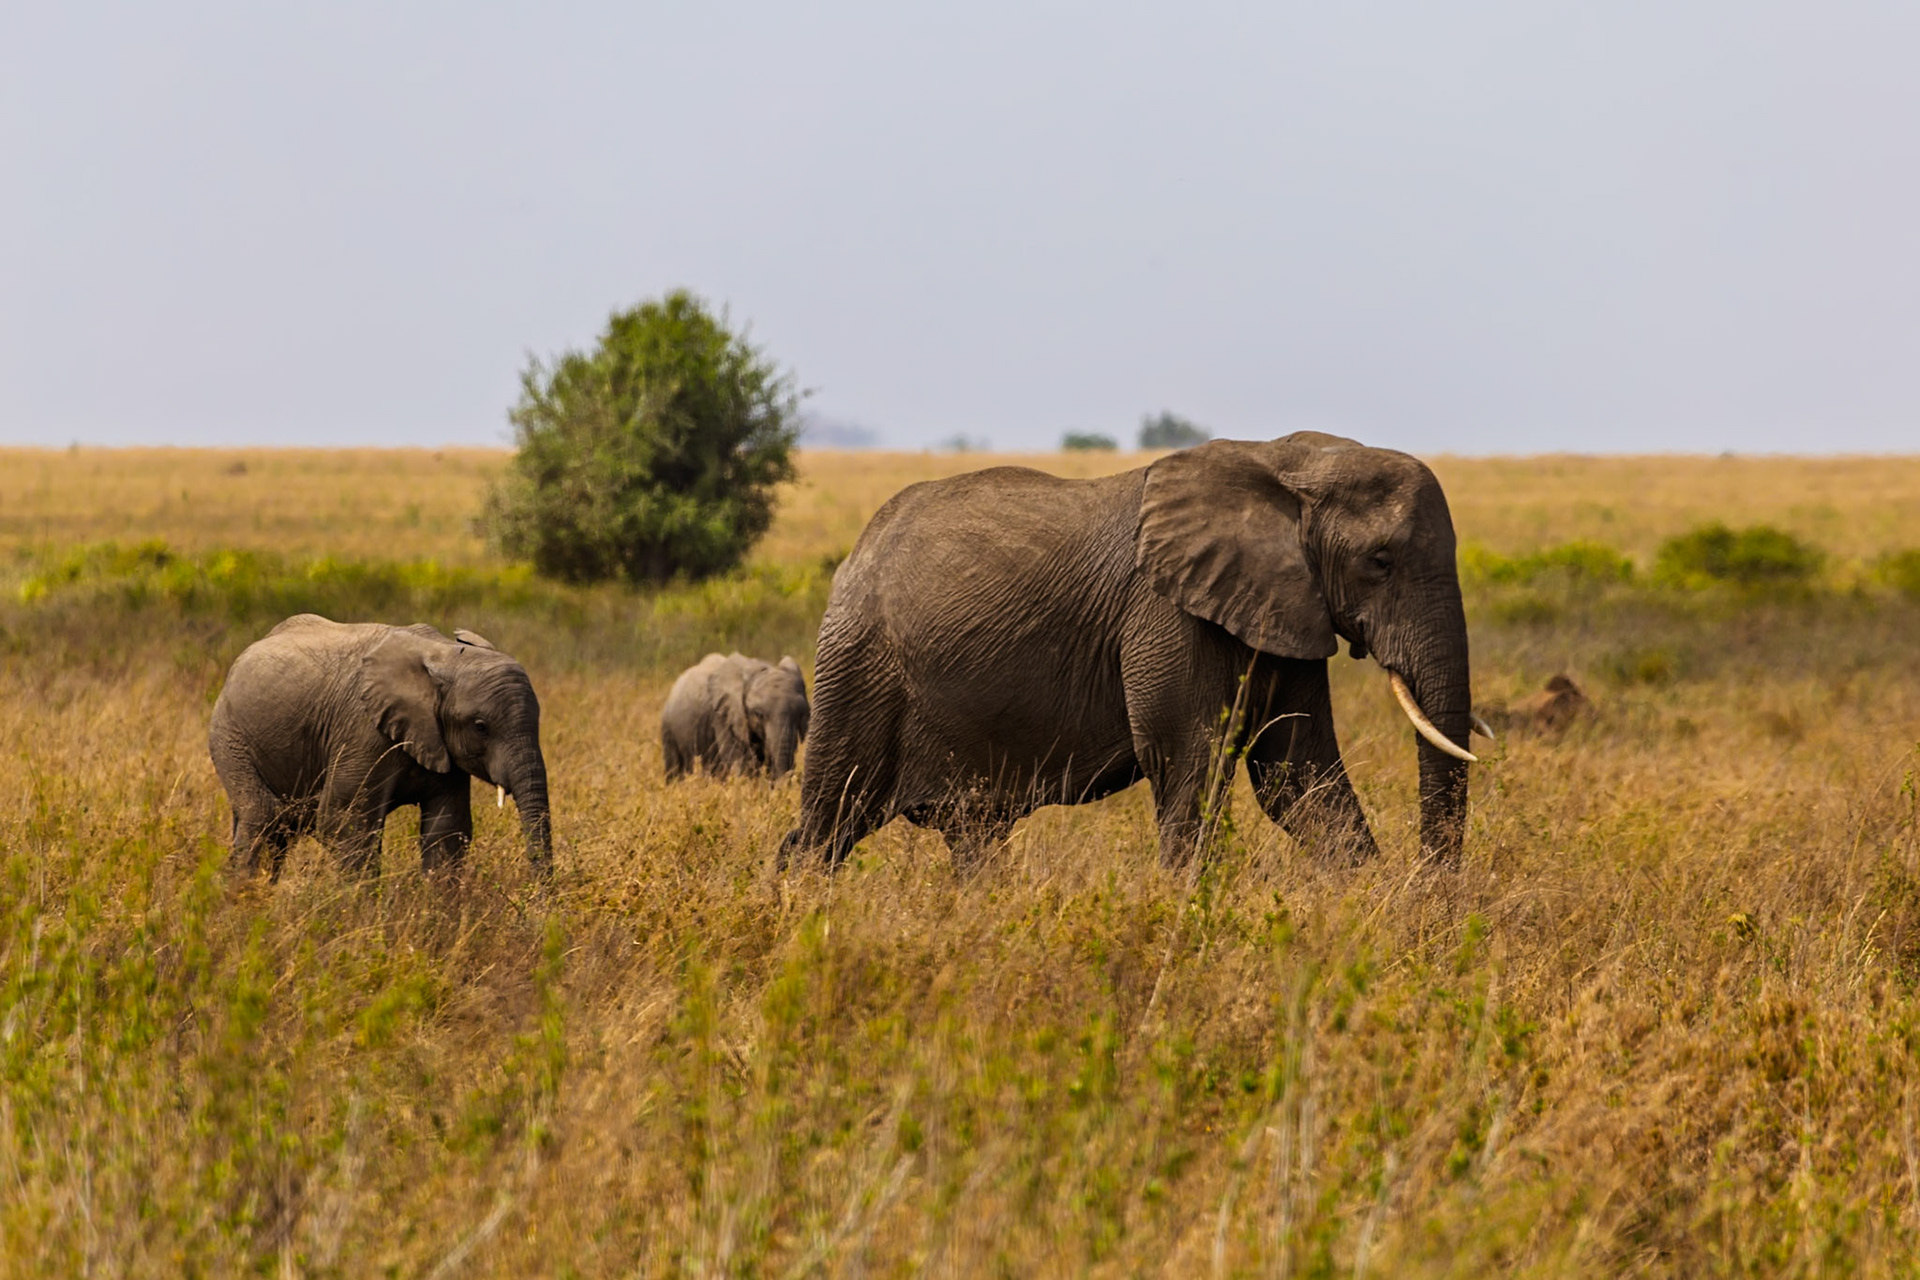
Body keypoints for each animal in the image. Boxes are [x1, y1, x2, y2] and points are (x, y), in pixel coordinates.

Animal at [208, 614, 552, 878]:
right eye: (481, 727)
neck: (443, 655)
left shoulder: (443, 746)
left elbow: (447, 831)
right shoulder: (363, 733)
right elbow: (345, 823)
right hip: (229, 735)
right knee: (263, 816)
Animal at [661, 652, 810, 781]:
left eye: (800, 714)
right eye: (758, 714)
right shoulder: (723, 716)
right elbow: (742, 762)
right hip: (668, 728)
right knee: (674, 767)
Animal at [780, 431, 1484, 870]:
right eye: (1380, 561)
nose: (1431, 895)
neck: (1286, 461)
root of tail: (857, 552)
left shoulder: (1284, 610)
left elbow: (1299, 777)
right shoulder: (1165, 612)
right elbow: (1189, 762)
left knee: (974, 835)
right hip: (858, 666)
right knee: (826, 825)